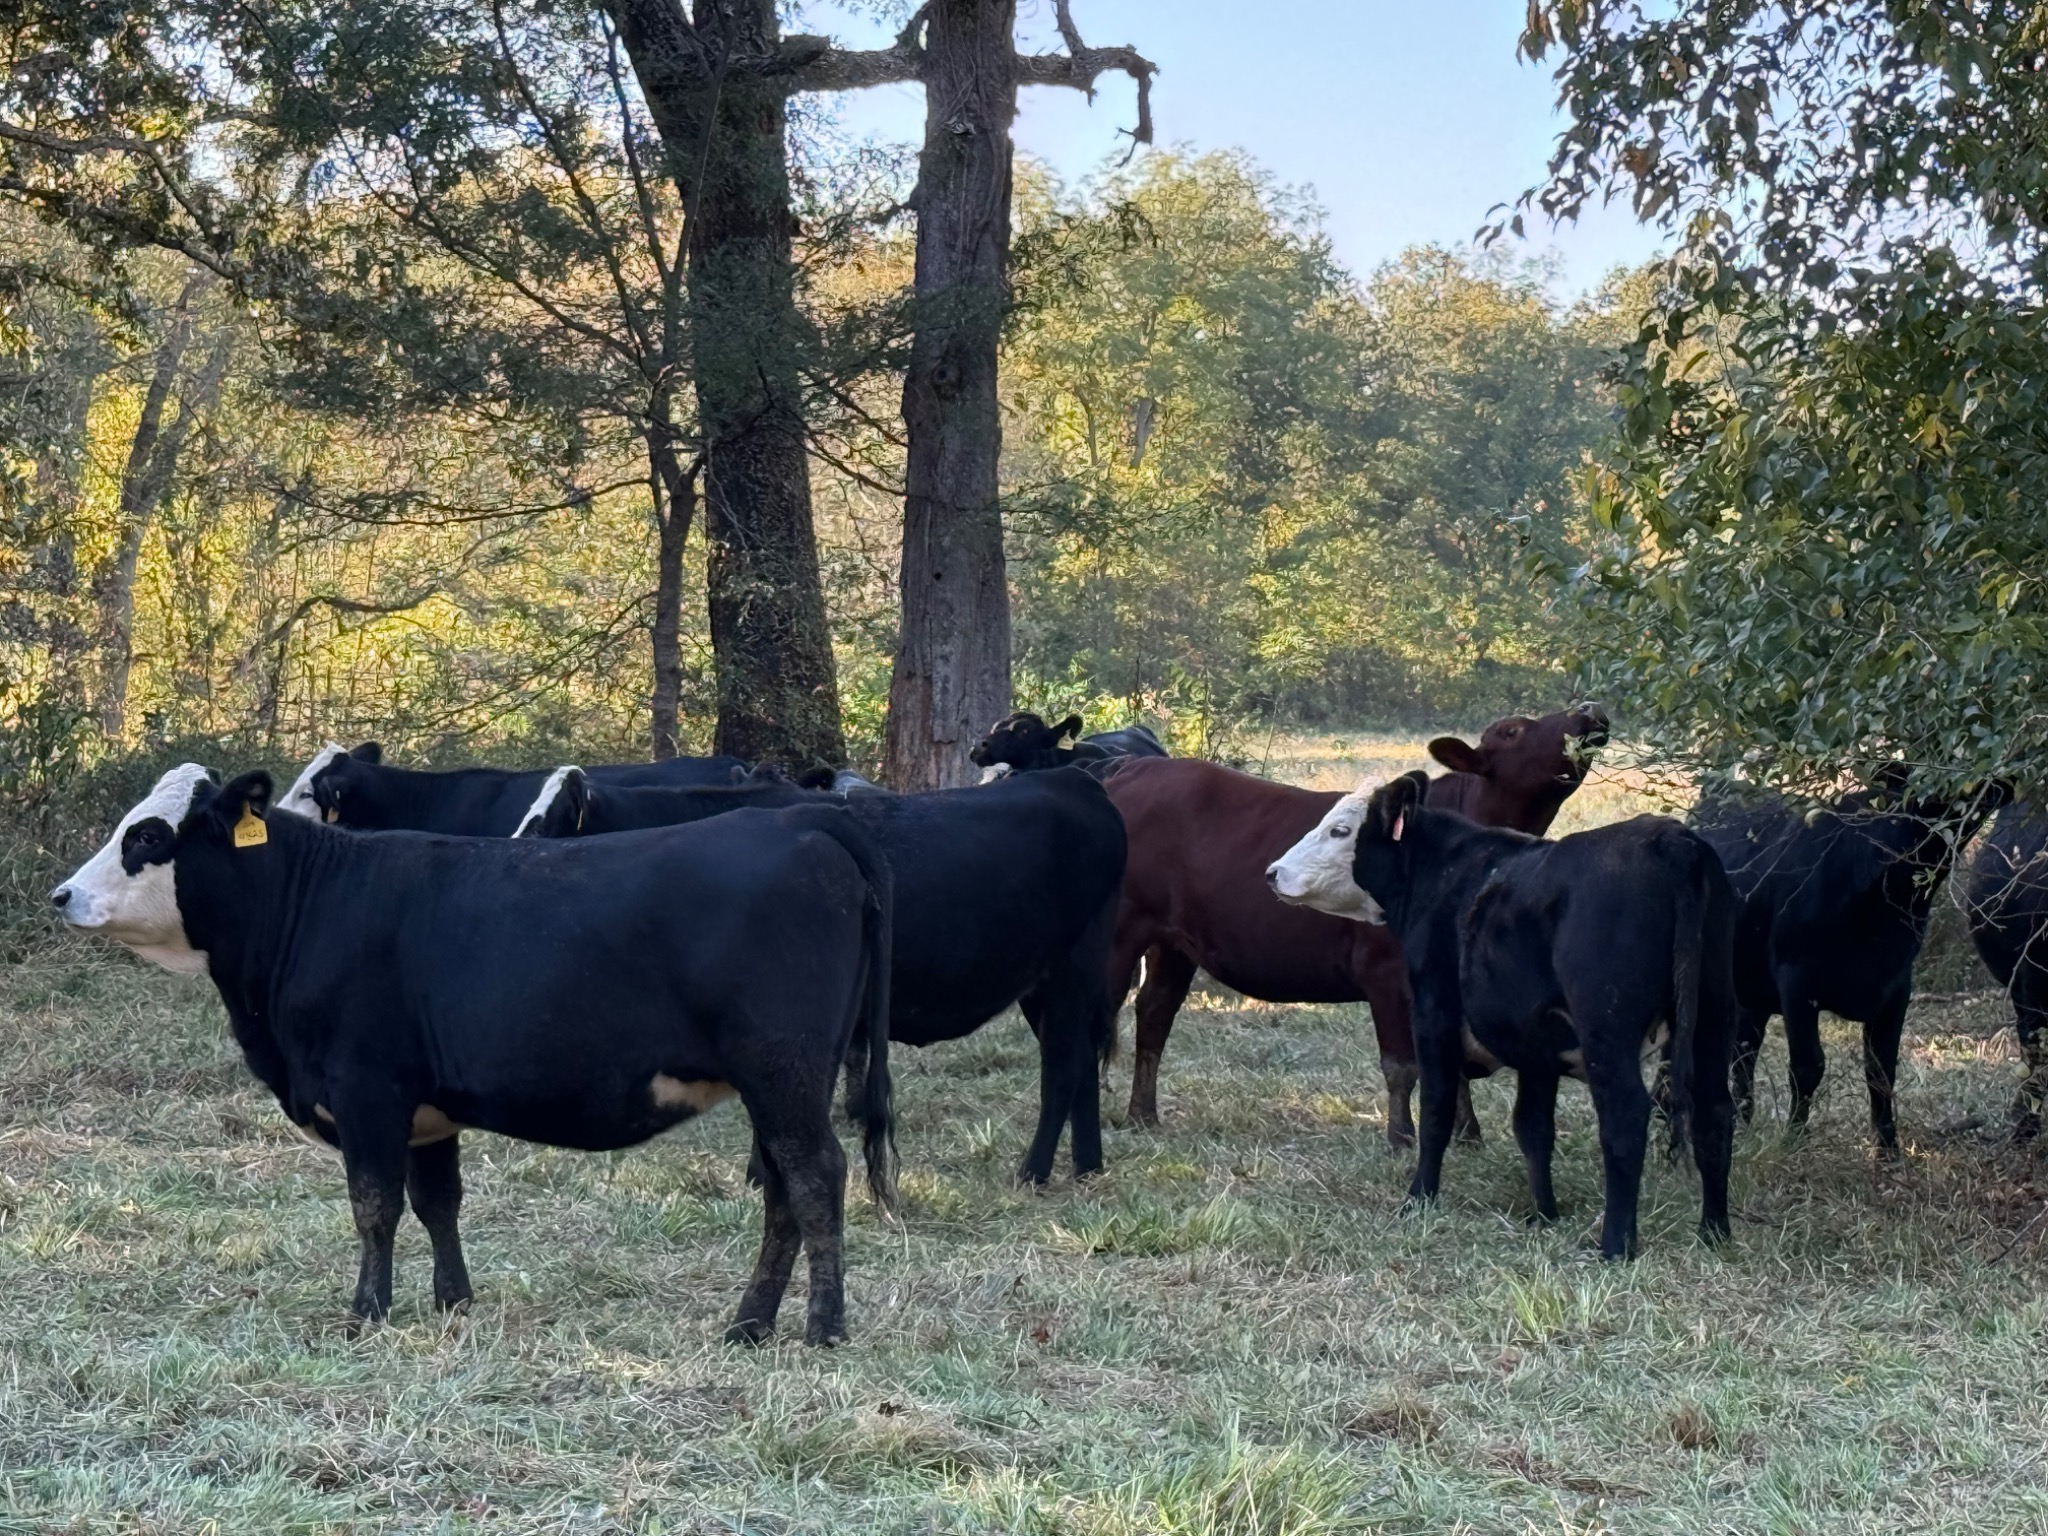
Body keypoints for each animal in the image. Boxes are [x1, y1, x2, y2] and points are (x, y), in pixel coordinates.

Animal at [52, 764, 895, 1346]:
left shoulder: (367, 1092)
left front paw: (366, 1313)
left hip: (782, 1071)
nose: (62, 896)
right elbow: (438, 1203)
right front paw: (453, 1301)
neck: (316, 904)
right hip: (782, 1083)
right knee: (784, 1188)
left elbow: (375, 1207)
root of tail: (810, 825)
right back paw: (749, 1326)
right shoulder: (426, 1108)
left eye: (148, 836)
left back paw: (823, 1327)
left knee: (816, 1178)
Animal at [513, 765, 1128, 1184]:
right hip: (1044, 984)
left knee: (1063, 1065)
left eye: (544, 827)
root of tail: (1075, 780)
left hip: (1072, 968)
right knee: (1080, 1065)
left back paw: (1034, 1170)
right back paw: (1087, 1165)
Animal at [1103, 704, 1610, 1142]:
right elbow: (1402, 1065)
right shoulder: (1386, 972)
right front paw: (1402, 1138)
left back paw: (1142, 1115)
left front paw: (1466, 1134)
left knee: (1154, 1012)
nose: (1588, 708)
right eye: (1513, 731)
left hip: (1172, 942)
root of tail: (1130, 770)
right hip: (1121, 931)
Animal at [1267, 770, 1736, 1259]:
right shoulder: (1537, 1046)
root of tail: (1671, 839)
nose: (1273, 873)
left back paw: (1615, 1245)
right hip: (1713, 1015)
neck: (1448, 875)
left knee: (1625, 1116)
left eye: (1340, 830)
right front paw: (1543, 1214)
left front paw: (1418, 1197)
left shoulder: (1433, 1014)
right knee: (1715, 1112)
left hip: (1608, 1032)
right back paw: (1714, 1231)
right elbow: (1532, 1127)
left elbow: (1436, 1110)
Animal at [1693, 769, 2008, 1152]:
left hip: (1751, 992)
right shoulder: (1797, 983)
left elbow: (1881, 1071)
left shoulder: (1896, 988)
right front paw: (1794, 1140)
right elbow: (1807, 1066)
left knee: (1743, 1052)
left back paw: (1743, 1125)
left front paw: (1889, 1149)